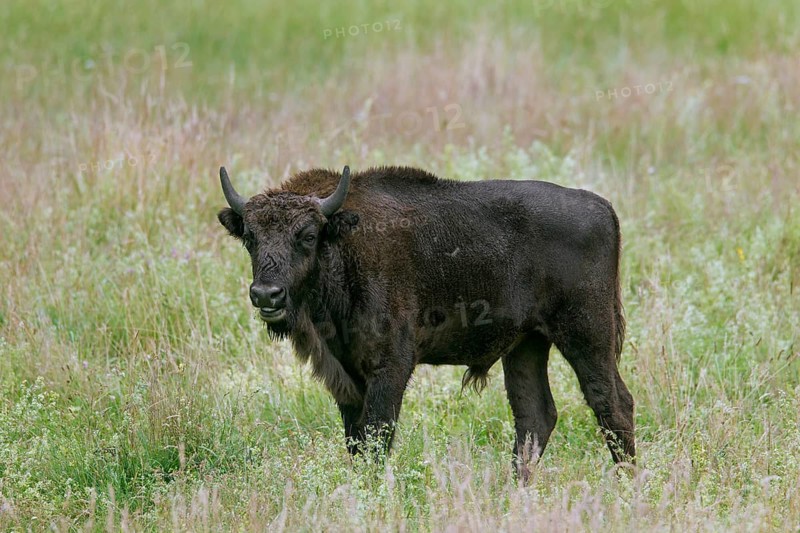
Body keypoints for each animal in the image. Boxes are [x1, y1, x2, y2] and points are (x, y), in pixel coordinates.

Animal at [217, 165, 635, 480]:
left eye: (306, 235)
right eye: (250, 237)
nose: (266, 295)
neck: (343, 241)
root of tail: (604, 209)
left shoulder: (390, 368)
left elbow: (376, 436)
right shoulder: (347, 379)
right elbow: (357, 441)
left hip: (587, 335)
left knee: (612, 403)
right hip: (526, 345)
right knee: (535, 416)